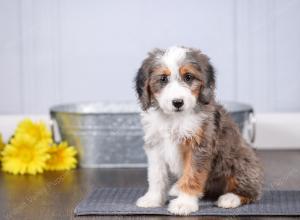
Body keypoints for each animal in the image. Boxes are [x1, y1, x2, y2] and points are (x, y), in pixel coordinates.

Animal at [134, 46, 262, 215]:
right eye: (163, 79)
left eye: (188, 77)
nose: (178, 102)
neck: (174, 119)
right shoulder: (155, 145)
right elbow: (156, 175)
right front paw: (153, 198)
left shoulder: (198, 145)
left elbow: (192, 174)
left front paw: (184, 203)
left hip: (240, 162)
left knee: (251, 191)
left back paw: (230, 198)